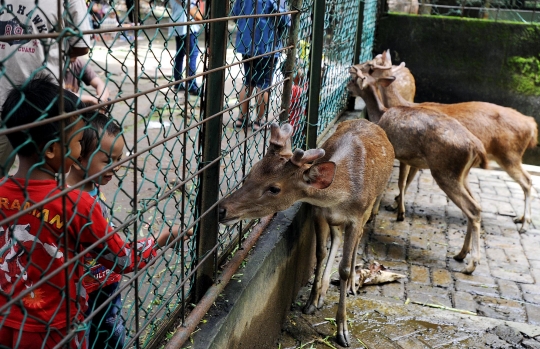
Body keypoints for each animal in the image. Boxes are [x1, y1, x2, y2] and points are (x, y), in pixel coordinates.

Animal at [217, 119, 394, 346]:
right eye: (250, 173)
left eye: (274, 188)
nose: (222, 209)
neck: (339, 197)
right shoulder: (317, 211)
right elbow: (320, 252)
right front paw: (311, 302)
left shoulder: (356, 216)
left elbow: (344, 268)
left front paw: (343, 332)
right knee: (336, 238)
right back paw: (323, 292)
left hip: (371, 204)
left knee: (359, 237)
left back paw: (352, 286)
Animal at [348, 66, 492, 274]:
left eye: (354, 79)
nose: (347, 89)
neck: (380, 115)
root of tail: (477, 147)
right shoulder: (407, 158)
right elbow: (400, 183)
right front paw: (396, 211)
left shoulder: (394, 153)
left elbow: (393, 183)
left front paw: (385, 214)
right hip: (462, 174)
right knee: (475, 206)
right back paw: (460, 254)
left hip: (444, 171)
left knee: (472, 209)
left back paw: (471, 264)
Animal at [364, 49, 536, 231]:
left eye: (371, 65)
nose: (357, 69)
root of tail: (531, 125)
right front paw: (396, 205)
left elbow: (406, 179)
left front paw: (395, 207)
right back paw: (520, 218)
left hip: (509, 155)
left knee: (526, 180)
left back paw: (525, 222)